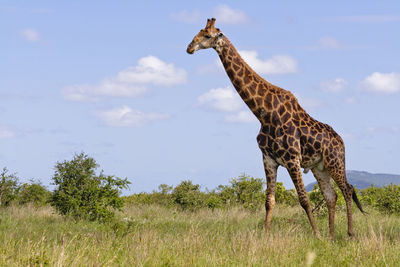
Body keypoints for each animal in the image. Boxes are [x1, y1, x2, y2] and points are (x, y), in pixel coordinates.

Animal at [186, 18, 364, 241]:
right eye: (198, 32)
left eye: (208, 35)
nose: (189, 47)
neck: (264, 113)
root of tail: (341, 141)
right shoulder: (268, 159)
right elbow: (269, 200)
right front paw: (265, 234)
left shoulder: (292, 158)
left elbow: (303, 199)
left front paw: (316, 234)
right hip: (319, 167)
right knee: (331, 195)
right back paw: (331, 236)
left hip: (335, 161)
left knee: (347, 189)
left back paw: (350, 233)